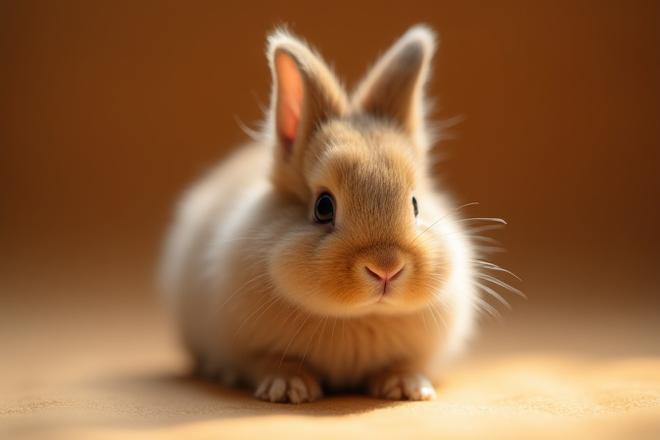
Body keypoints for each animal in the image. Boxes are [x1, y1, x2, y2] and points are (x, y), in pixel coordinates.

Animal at [160, 24, 481, 404]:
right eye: (323, 207)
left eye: (415, 203)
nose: (386, 268)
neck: (356, 318)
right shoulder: (250, 346)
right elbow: (271, 362)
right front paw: (287, 389)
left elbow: (402, 363)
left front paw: (408, 388)